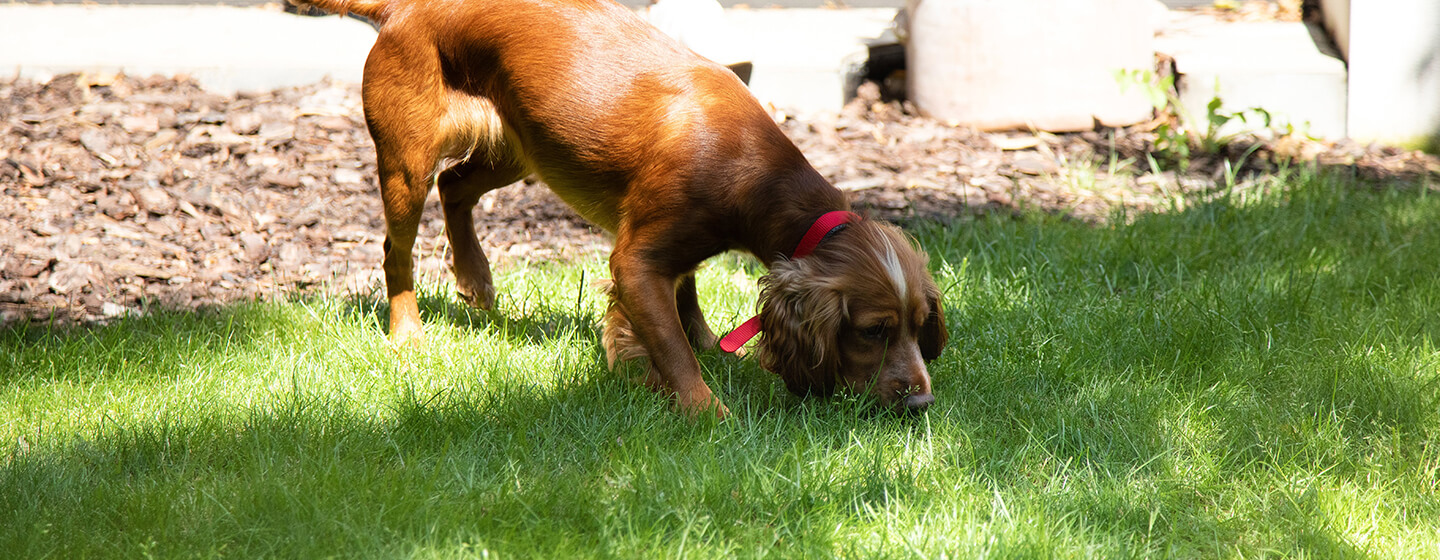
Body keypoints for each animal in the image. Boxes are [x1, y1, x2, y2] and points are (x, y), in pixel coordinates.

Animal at [288, 0, 950, 414]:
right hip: (409, 161)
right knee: (396, 247)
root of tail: (400, 10)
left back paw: (476, 277)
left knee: (456, 188)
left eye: (920, 325)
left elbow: (686, 299)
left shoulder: (669, 250)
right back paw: (407, 333)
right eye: (874, 330)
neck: (755, 168)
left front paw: (707, 344)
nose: (921, 402)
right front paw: (709, 415)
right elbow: (675, 353)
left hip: (524, 146)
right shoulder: (636, 259)